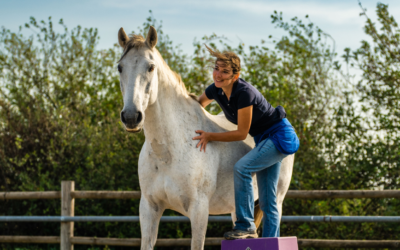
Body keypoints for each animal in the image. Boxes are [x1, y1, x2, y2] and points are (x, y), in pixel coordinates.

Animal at [115, 26, 294, 249]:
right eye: (120, 67)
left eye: (151, 67)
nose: (131, 117)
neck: (167, 151)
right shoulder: (149, 208)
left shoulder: (199, 210)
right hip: (238, 208)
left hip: (276, 199)